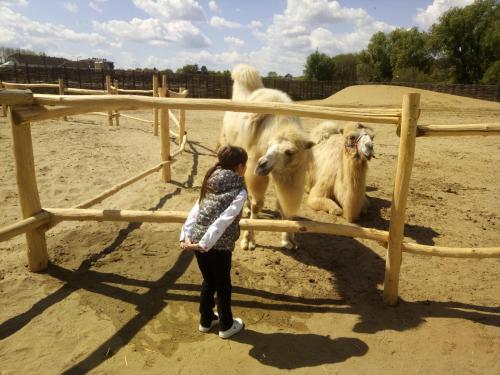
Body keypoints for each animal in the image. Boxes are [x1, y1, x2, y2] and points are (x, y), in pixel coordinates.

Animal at [219, 64, 312, 251]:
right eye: (269, 145)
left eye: (289, 152)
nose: (262, 165)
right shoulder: (254, 166)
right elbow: (257, 203)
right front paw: (248, 240)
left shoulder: (284, 174)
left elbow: (283, 207)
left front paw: (289, 240)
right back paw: (246, 210)